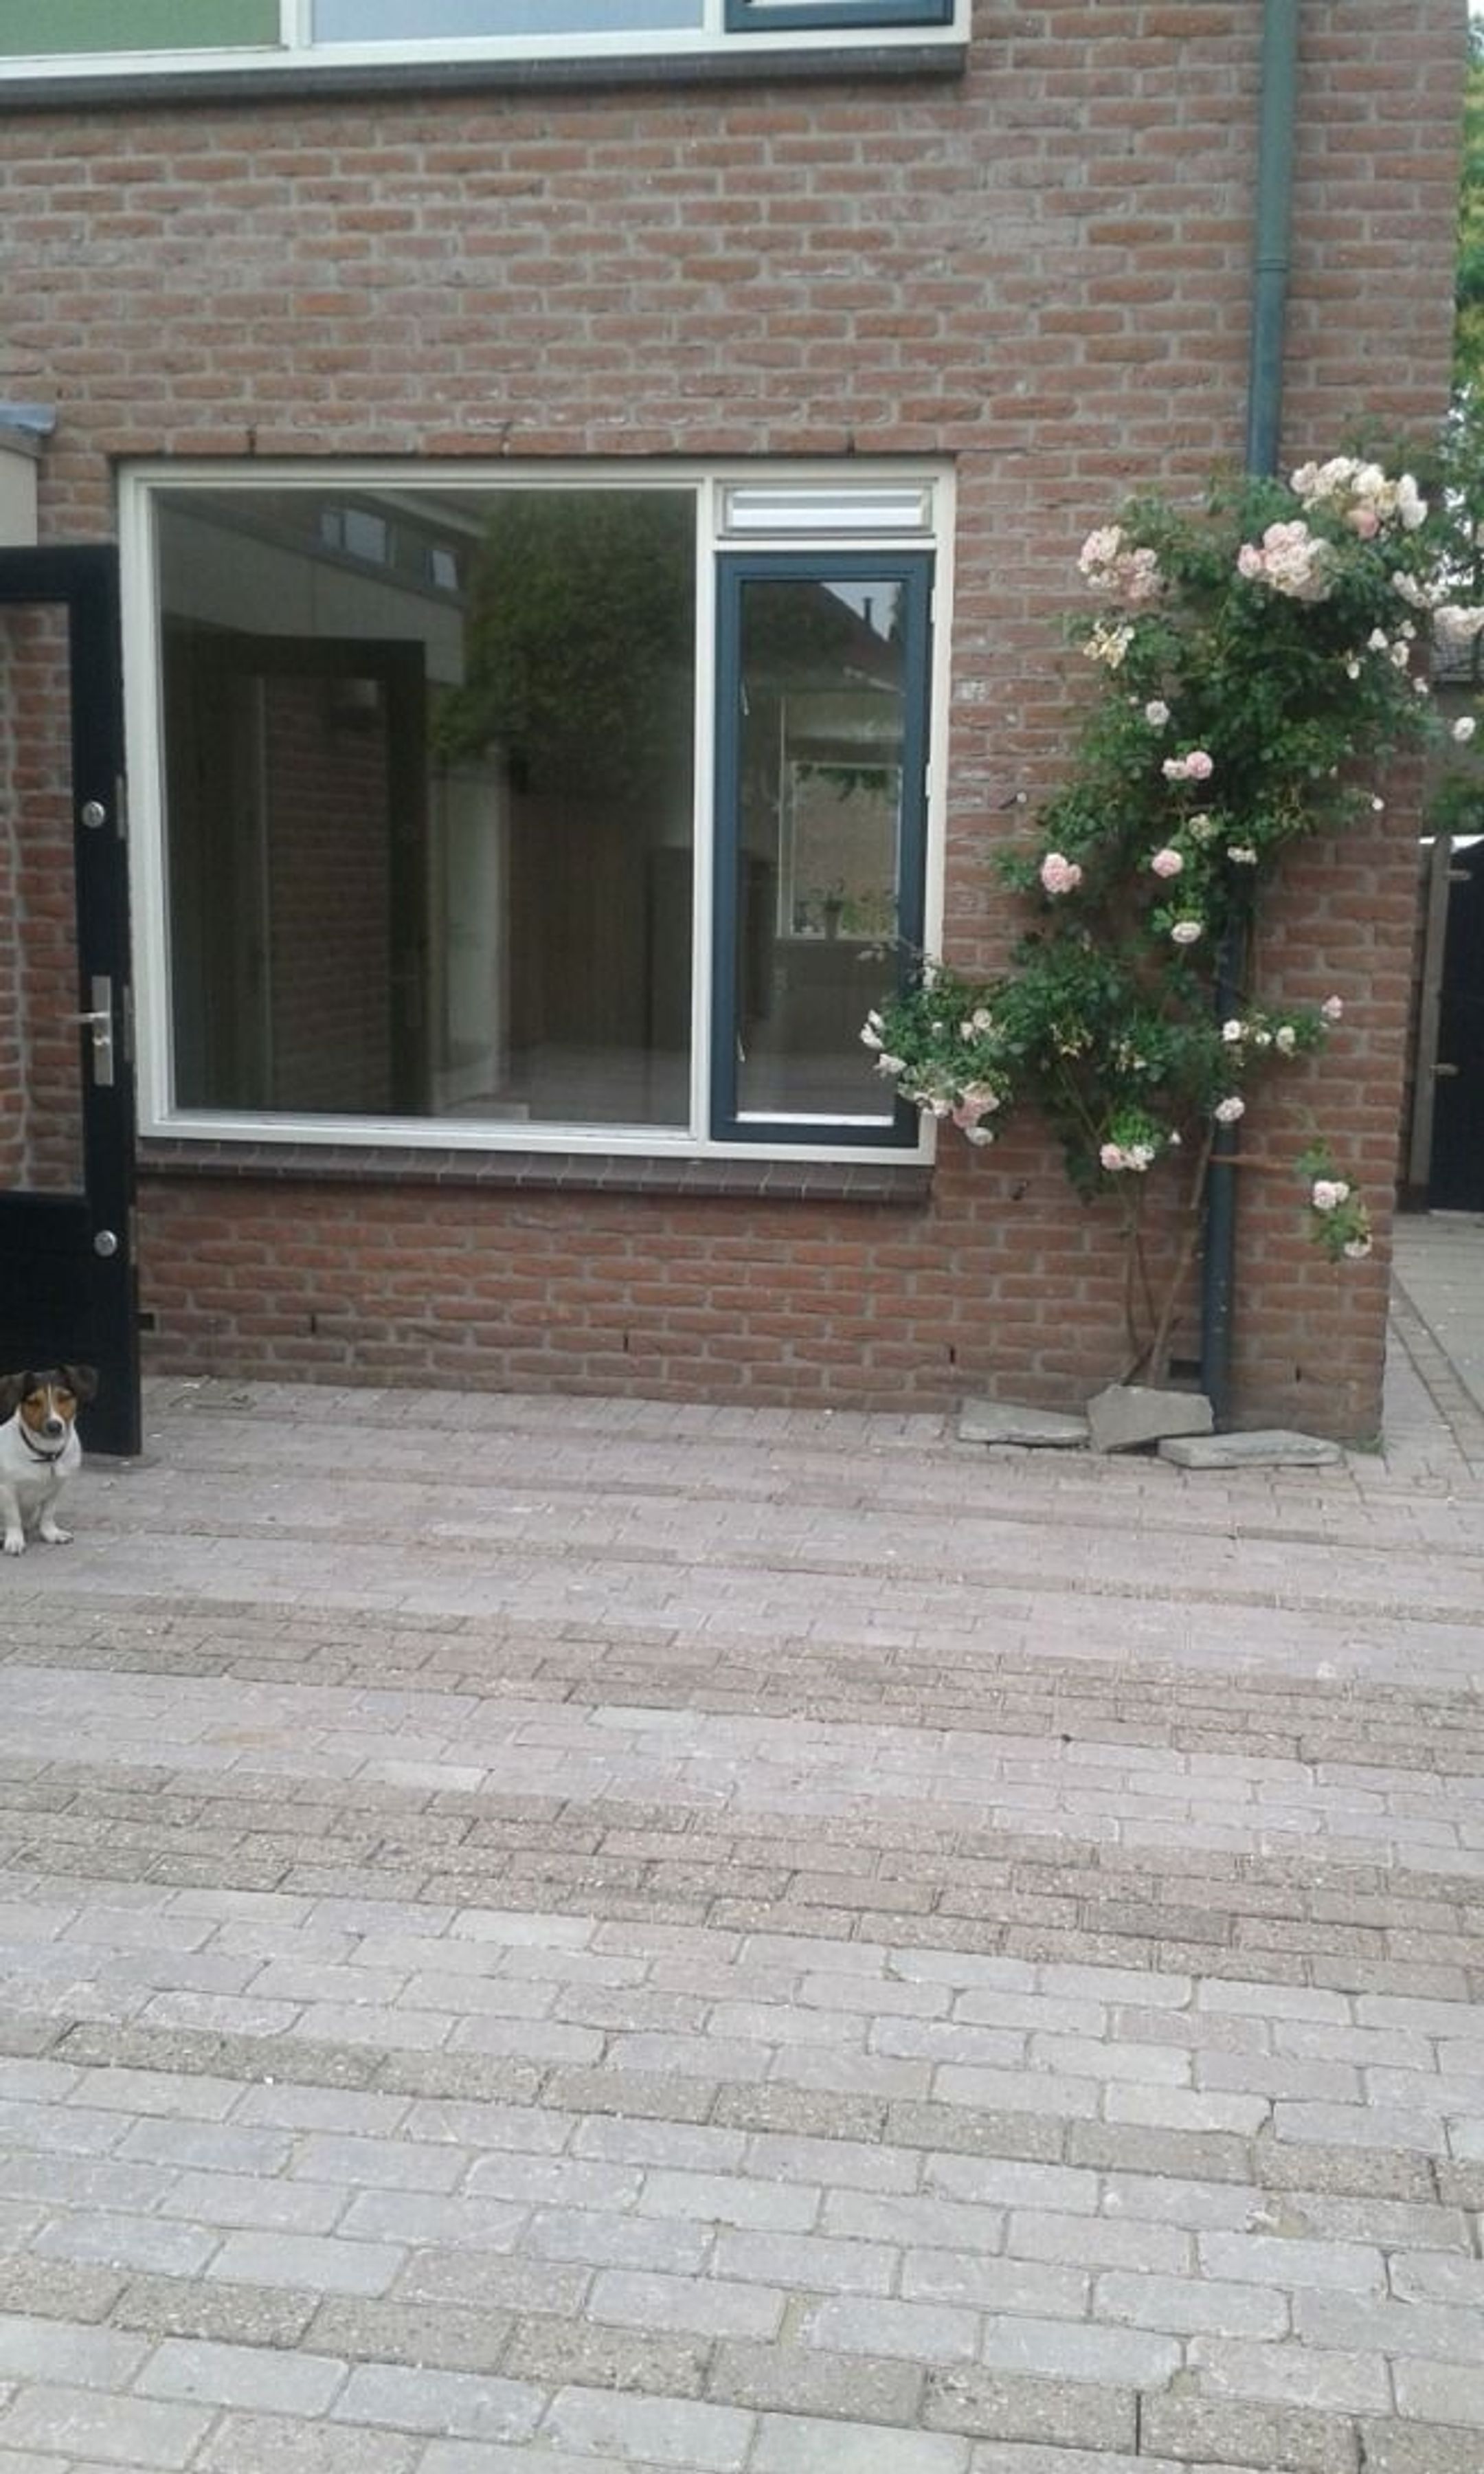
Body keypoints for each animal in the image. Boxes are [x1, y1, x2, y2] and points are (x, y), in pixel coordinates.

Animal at [0, 1366, 98, 1557]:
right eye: (33, 1402)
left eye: (64, 1397)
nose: (54, 1426)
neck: (46, 1454)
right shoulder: (6, 1488)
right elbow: (13, 1517)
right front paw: (15, 1540)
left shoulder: (57, 1486)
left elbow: (48, 1513)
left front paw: (51, 1534)